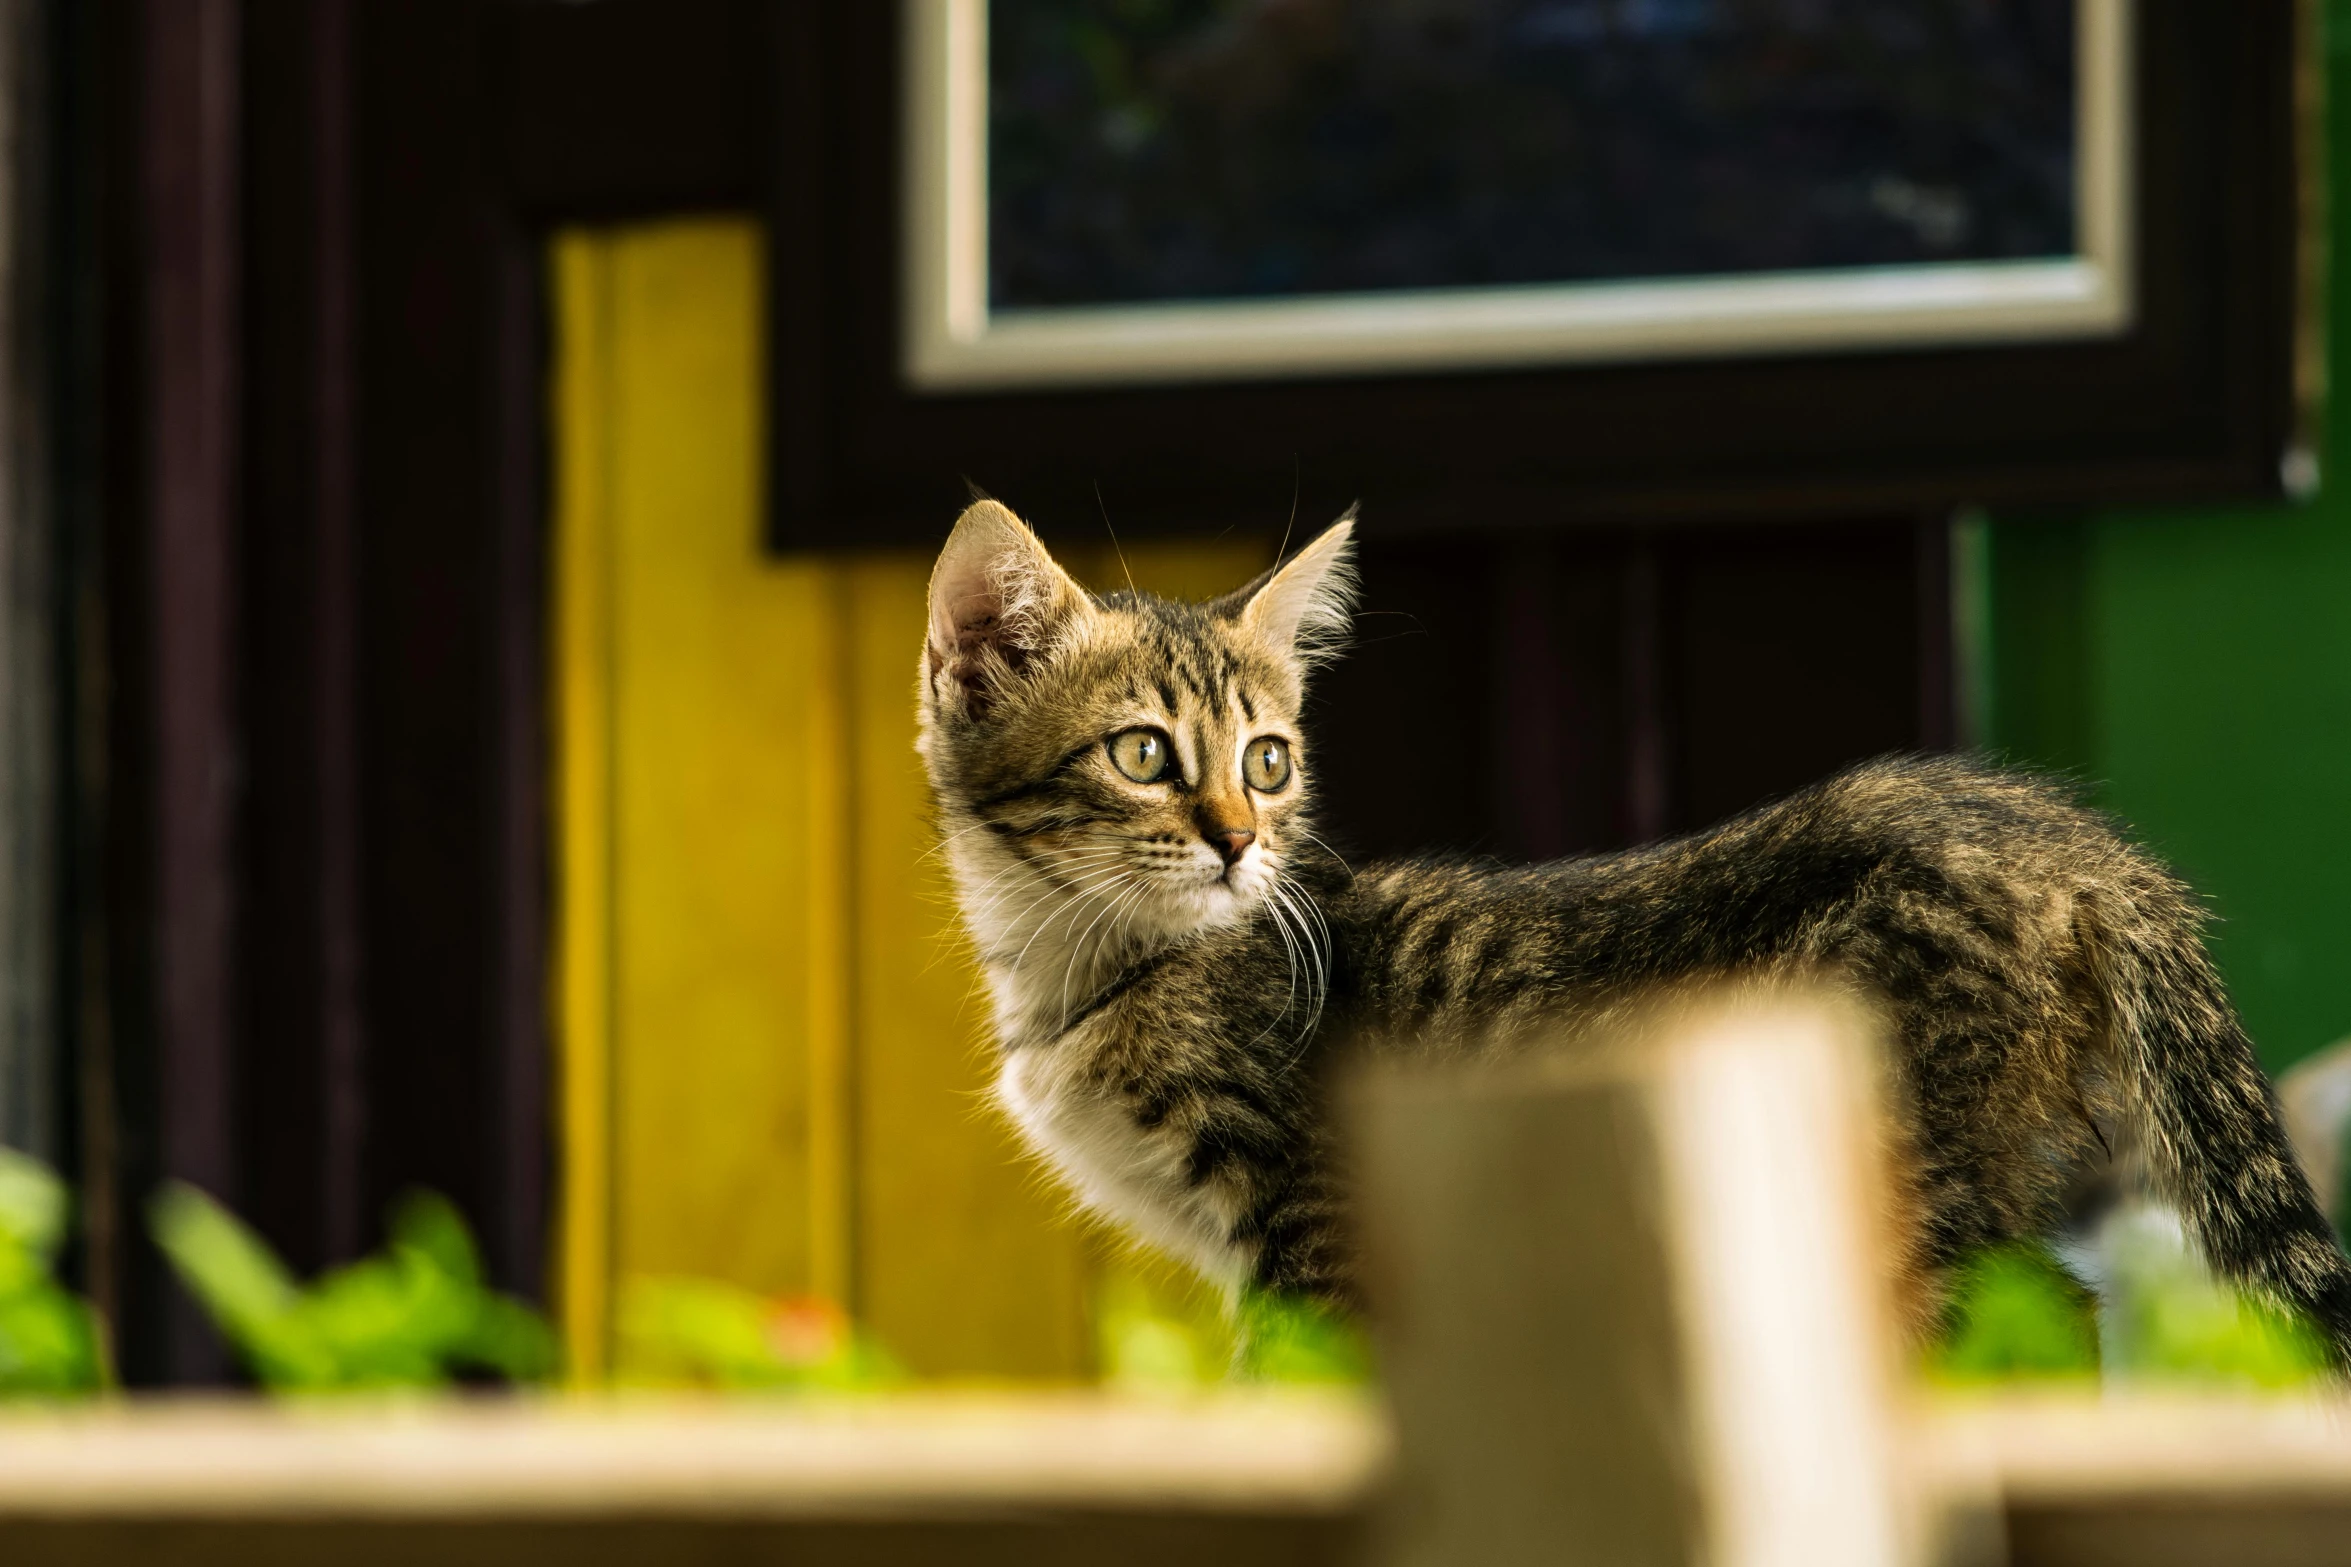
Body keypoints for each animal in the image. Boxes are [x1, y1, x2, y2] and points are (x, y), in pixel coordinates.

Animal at [912, 500, 2351, 1353]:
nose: (1236, 840)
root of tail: (2072, 838)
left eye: (1266, 761)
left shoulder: (1305, 1223)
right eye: (1144, 753)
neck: (1089, 967)